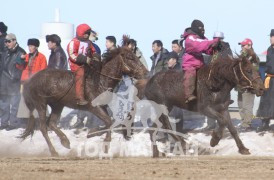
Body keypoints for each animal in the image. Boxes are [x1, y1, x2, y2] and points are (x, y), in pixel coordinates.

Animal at [20, 46, 149, 156]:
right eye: (130, 57)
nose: (146, 72)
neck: (100, 80)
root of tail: (30, 80)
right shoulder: (94, 107)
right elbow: (108, 121)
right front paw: (103, 141)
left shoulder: (103, 106)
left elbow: (110, 122)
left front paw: (93, 134)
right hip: (40, 104)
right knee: (43, 127)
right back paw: (54, 152)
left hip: (58, 105)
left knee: (51, 123)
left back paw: (65, 141)